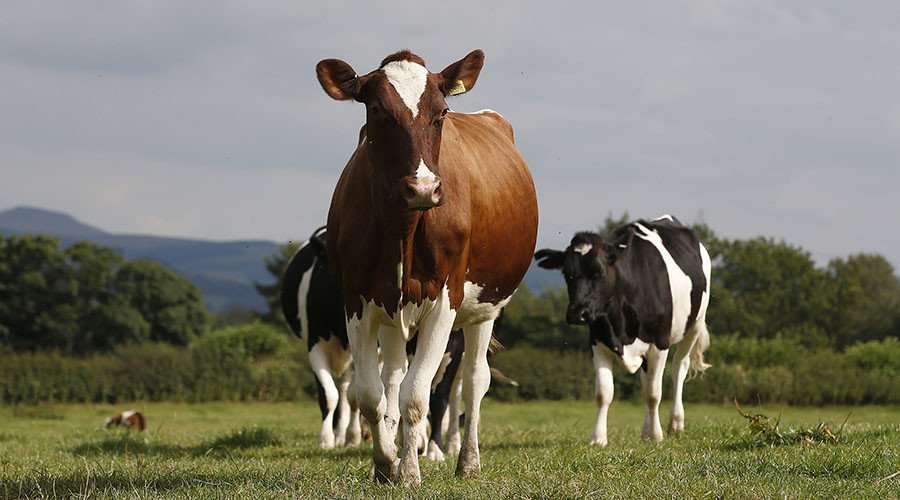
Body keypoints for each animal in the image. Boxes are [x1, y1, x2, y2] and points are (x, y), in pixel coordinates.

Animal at [281, 226, 362, 449]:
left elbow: (355, 396)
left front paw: (353, 436)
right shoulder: (315, 345)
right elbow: (329, 395)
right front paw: (326, 439)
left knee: (347, 390)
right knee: (340, 389)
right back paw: (340, 435)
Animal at [316, 49, 538, 484]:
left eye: (441, 113)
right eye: (376, 109)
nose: (422, 188)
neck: (402, 228)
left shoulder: (445, 300)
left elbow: (417, 395)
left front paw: (408, 471)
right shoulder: (357, 300)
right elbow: (371, 394)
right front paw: (385, 462)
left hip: (485, 309)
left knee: (474, 381)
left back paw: (467, 462)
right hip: (392, 311)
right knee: (393, 377)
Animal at [534, 215, 711, 446]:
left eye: (599, 272)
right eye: (567, 273)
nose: (577, 313)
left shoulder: (659, 343)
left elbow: (653, 394)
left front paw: (657, 435)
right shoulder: (598, 342)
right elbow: (604, 393)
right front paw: (598, 438)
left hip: (695, 325)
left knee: (678, 369)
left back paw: (675, 423)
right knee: (647, 379)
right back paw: (645, 431)